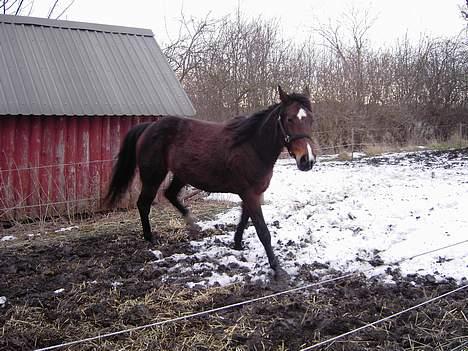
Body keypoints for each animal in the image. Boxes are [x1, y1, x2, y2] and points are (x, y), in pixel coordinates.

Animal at [104, 86, 318, 280]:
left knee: (170, 194)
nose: (307, 160)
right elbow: (262, 231)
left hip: (181, 174)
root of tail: (148, 127)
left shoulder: (252, 194)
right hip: (153, 176)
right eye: (289, 119)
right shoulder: (249, 194)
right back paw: (151, 238)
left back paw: (193, 224)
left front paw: (237, 244)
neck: (252, 146)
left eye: (310, 119)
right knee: (144, 203)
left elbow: (244, 219)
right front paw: (277, 268)